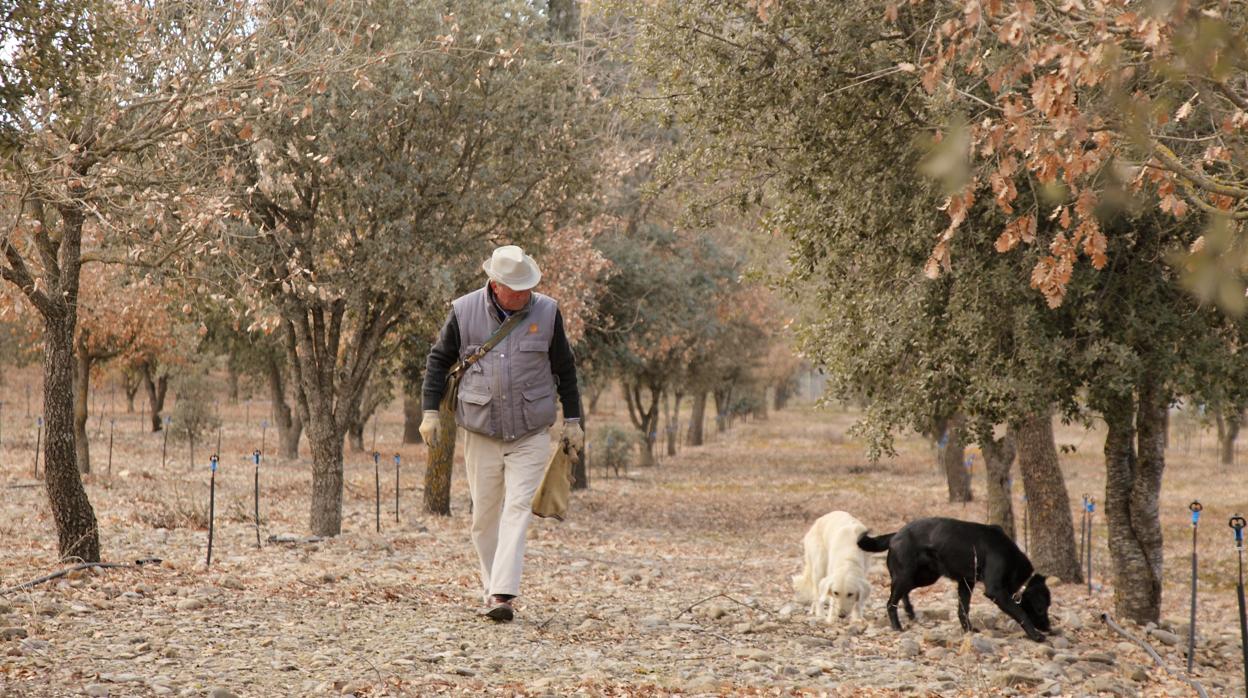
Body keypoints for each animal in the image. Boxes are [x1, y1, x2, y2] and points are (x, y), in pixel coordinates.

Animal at [853, 516, 1048, 644]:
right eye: (1040, 608)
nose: (1049, 628)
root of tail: (895, 534)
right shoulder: (996, 592)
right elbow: (1020, 613)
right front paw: (1036, 635)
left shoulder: (966, 582)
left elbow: (963, 609)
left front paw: (969, 630)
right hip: (906, 575)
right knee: (890, 603)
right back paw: (897, 626)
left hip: (924, 577)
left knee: (903, 593)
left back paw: (910, 612)